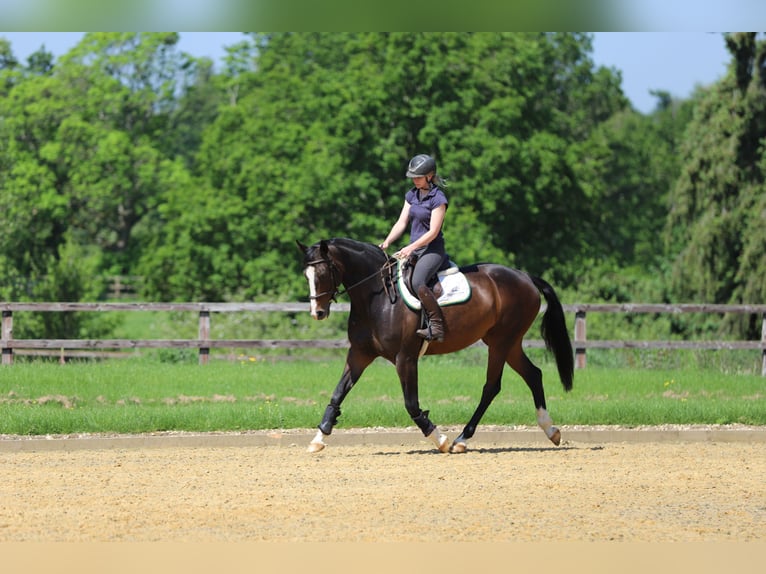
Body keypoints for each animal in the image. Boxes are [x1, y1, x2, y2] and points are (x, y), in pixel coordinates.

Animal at [296, 238, 572, 454]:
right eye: (306, 275)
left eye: (322, 274)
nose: (317, 312)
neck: (378, 297)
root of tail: (525, 277)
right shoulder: (360, 354)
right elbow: (338, 393)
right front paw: (318, 438)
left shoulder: (405, 358)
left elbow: (411, 403)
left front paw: (440, 439)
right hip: (508, 342)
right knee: (533, 374)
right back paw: (551, 430)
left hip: (501, 341)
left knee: (492, 387)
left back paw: (461, 439)